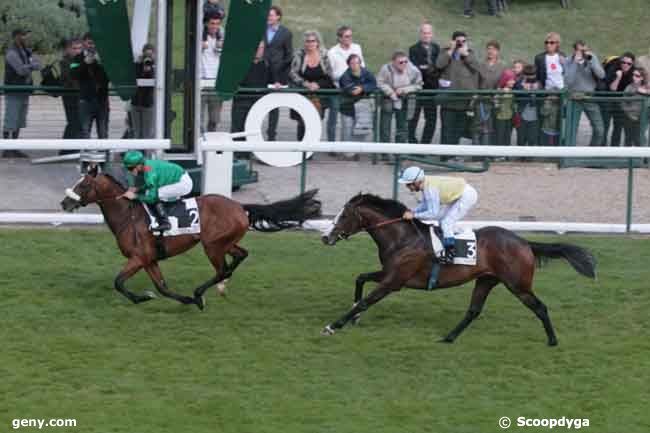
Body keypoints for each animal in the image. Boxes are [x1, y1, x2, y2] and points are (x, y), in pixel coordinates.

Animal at [60, 164, 318, 308]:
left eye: (84, 185)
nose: (64, 203)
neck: (128, 217)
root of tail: (239, 206)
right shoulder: (149, 259)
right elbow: (162, 287)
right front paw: (178, 300)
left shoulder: (139, 257)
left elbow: (119, 282)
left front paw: (144, 298)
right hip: (224, 243)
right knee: (240, 255)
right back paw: (215, 288)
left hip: (212, 246)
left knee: (221, 269)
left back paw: (201, 292)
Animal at [316, 192, 596, 344]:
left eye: (343, 216)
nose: (325, 237)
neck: (402, 237)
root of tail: (524, 242)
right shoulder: (389, 274)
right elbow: (360, 278)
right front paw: (354, 315)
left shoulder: (394, 281)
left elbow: (367, 300)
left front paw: (333, 326)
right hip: (486, 280)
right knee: (473, 310)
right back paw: (448, 337)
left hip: (518, 285)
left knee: (540, 307)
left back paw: (552, 341)